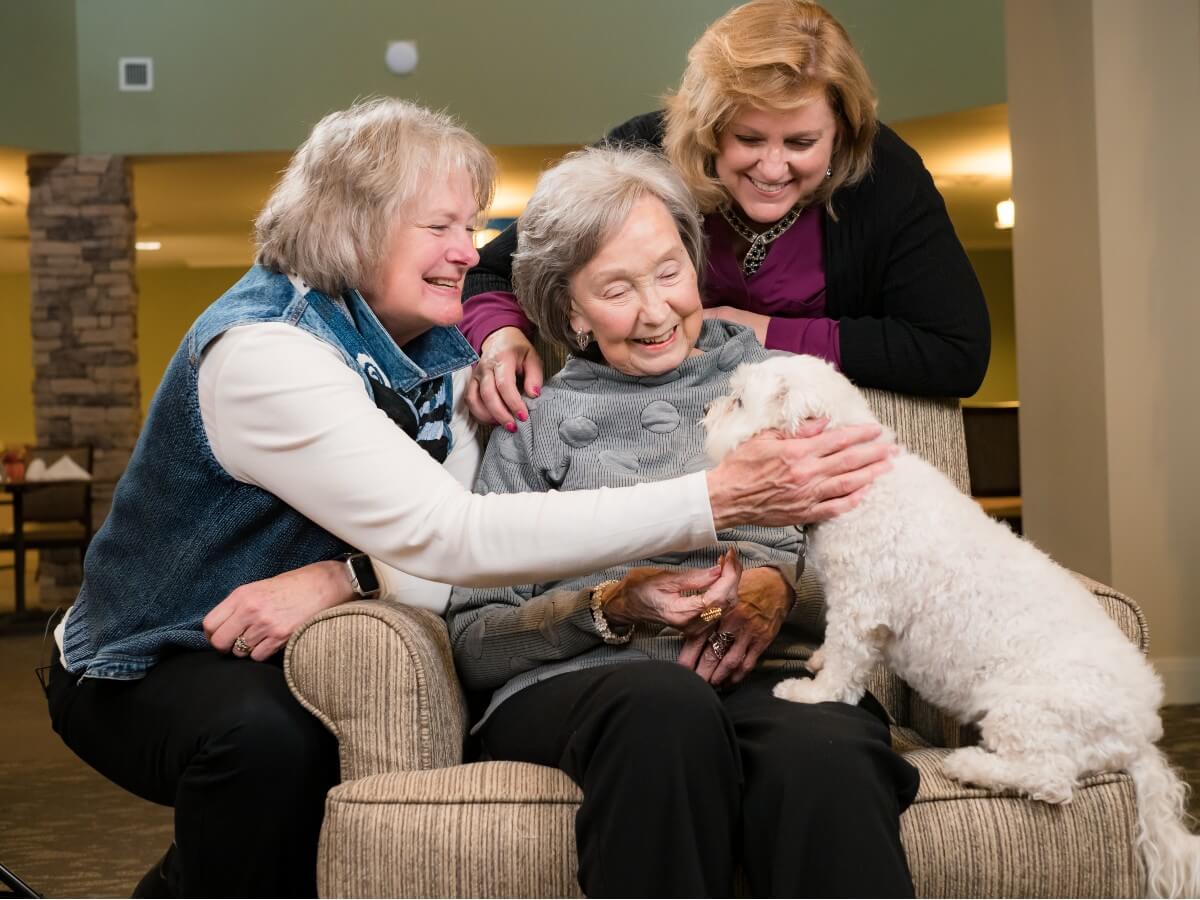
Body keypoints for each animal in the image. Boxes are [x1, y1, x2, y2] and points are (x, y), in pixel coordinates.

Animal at [700, 355, 1200, 897]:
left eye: (738, 401)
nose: (705, 412)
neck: (864, 486)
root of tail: (1142, 736)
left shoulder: (860, 608)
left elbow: (844, 667)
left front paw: (811, 693)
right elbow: (834, 651)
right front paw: (817, 660)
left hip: (1025, 711)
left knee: (1051, 780)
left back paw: (971, 766)